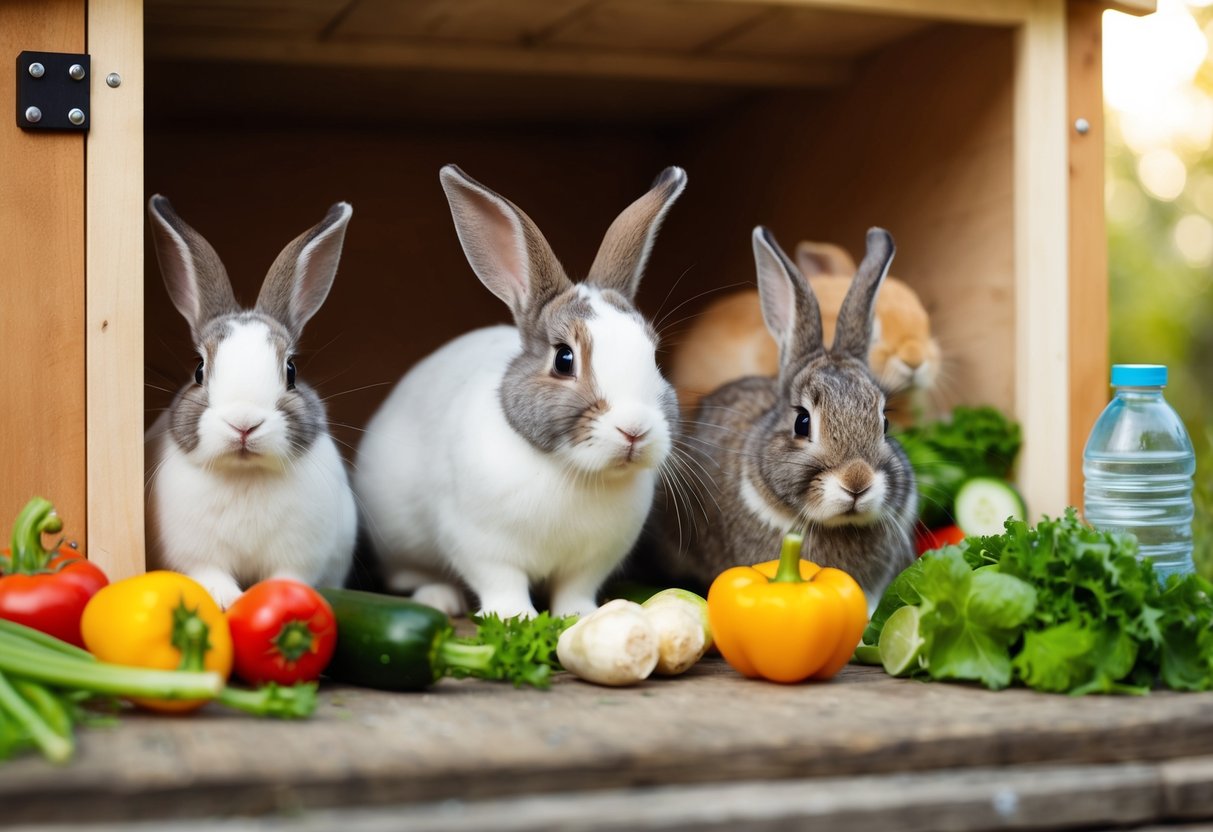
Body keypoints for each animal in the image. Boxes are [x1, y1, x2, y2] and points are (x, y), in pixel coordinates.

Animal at [144, 195, 358, 609]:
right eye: (199, 370)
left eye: (291, 371)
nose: (243, 424)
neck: (245, 473)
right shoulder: (197, 554)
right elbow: (210, 574)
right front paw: (225, 600)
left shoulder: (301, 554)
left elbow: (289, 576)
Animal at [353, 165, 686, 619]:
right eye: (564, 359)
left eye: (653, 356)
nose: (634, 430)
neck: (570, 470)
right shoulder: (480, 545)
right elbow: (502, 584)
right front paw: (515, 618)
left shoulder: (592, 562)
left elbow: (575, 589)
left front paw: (579, 616)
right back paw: (440, 598)